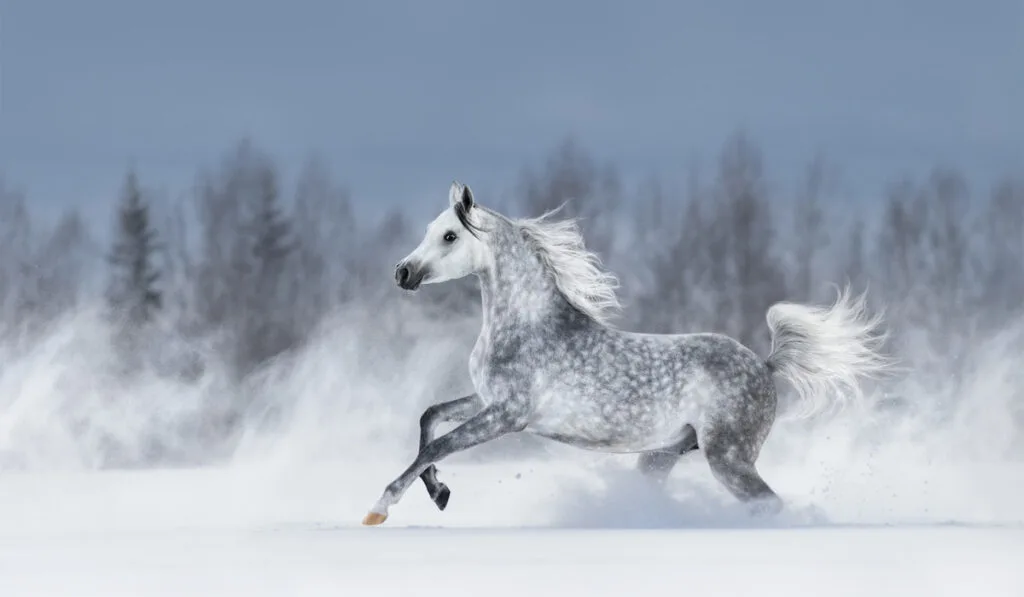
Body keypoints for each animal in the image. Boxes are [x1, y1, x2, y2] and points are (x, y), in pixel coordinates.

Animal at [364, 183, 892, 528]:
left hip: (729, 457)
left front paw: (380, 508)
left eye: (450, 237)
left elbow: (437, 445)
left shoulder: (507, 415)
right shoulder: (485, 400)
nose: (401, 272)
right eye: (431, 230)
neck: (526, 325)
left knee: (769, 505)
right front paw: (440, 494)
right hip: (663, 455)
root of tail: (765, 365)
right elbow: (429, 418)